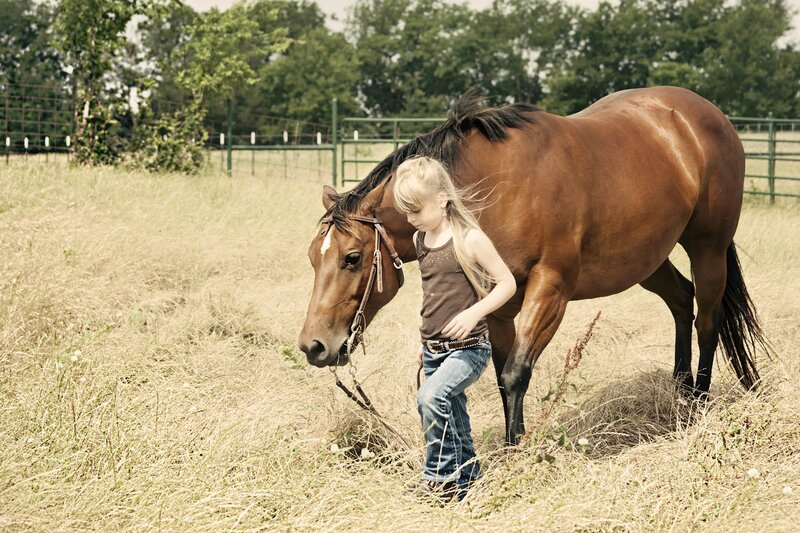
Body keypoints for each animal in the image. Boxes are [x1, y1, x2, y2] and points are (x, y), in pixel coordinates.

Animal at [297, 86, 772, 444]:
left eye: (352, 258)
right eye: (313, 257)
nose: (313, 346)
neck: (497, 187)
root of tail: (707, 114)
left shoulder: (550, 289)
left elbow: (515, 374)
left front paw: (515, 451)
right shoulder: (497, 306)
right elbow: (502, 376)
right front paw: (515, 443)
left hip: (708, 247)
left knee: (707, 317)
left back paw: (699, 402)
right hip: (646, 259)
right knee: (681, 301)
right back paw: (679, 391)